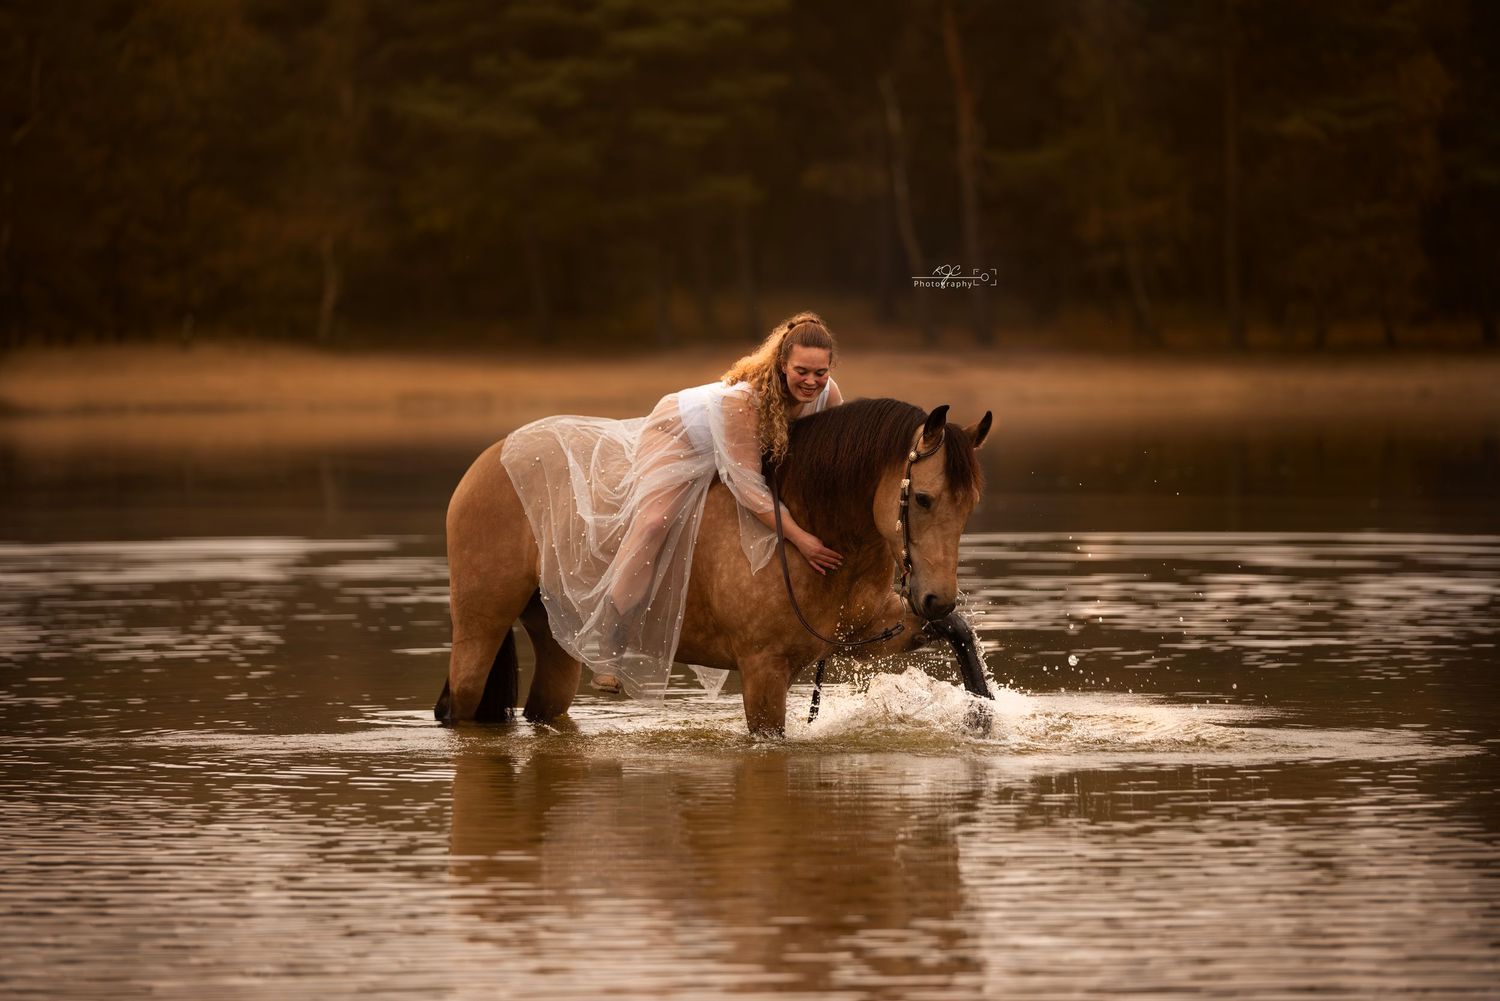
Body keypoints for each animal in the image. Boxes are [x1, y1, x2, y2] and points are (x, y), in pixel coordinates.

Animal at [434, 397, 994, 736]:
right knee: (461, 705)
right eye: (922, 498)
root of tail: (494, 457)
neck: (802, 520)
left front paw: (982, 716)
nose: (936, 595)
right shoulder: (762, 671)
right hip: (481, 625)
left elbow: (958, 631)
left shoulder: (872, 632)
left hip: (557, 635)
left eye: (971, 505)